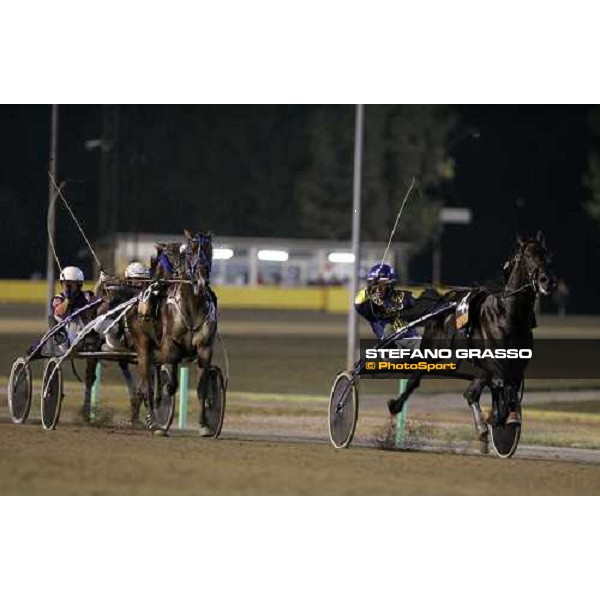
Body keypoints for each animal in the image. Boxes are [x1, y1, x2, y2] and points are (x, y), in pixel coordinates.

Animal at [386, 232, 556, 452]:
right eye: (528, 256)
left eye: (547, 256)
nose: (547, 281)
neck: (508, 314)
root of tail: (444, 301)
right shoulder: (495, 361)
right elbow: (506, 387)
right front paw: (500, 417)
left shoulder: (517, 363)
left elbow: (509, 390)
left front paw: (504, 419)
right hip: (433, 349)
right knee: (415, 379)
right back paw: (395, 405)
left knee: (471, 394)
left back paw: (483, 430)